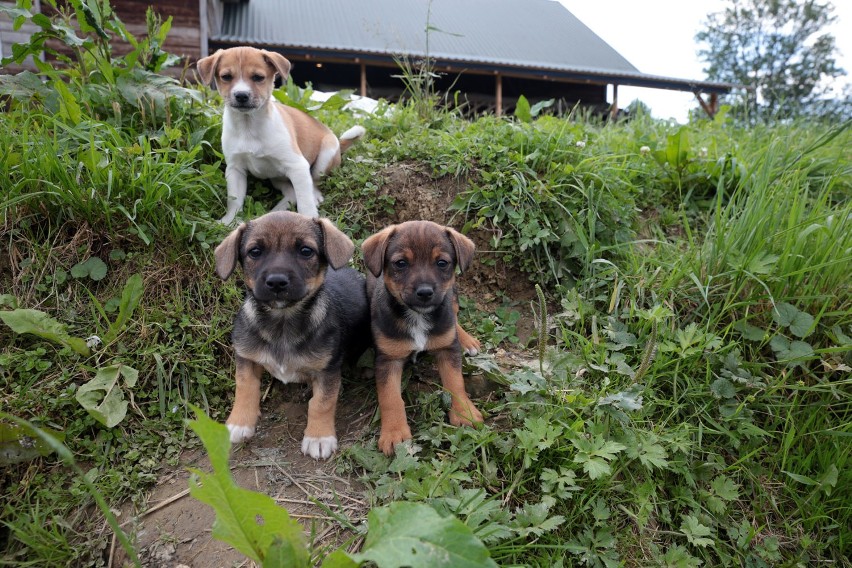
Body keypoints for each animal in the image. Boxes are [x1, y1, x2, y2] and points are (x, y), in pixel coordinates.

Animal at [197, 47, 366, 224]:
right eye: (226, 77)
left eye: (258, 77)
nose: (241, 95)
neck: (248, 126)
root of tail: (338, 144)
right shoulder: (235, 169)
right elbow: (234, 200)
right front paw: (229, 221)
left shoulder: (297, 166)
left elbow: (304, 201)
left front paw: (309, 218)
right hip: (277, 177)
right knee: (291, 193)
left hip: (324, 158)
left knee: (313, 182)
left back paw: (314, 196)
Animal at [215, 211, 368, 460]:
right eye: (254, 251)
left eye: (306, 250)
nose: (277, 282)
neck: (282, 323)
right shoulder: (246, 357)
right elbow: (245, 388)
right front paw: (239, 422)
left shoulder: (327, 370)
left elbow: (322, 402)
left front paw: (319, 437)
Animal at [362, 220, 486, 454]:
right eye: (400, 263)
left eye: (442, 263)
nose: (425, 292)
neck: (417, 316)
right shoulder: (388, 359)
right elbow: (390, 397)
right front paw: (394, 433)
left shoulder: (448, 350)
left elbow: (455, 382)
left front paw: (464, 412)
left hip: (452, 296)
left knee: (454, 315)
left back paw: (467, 340)